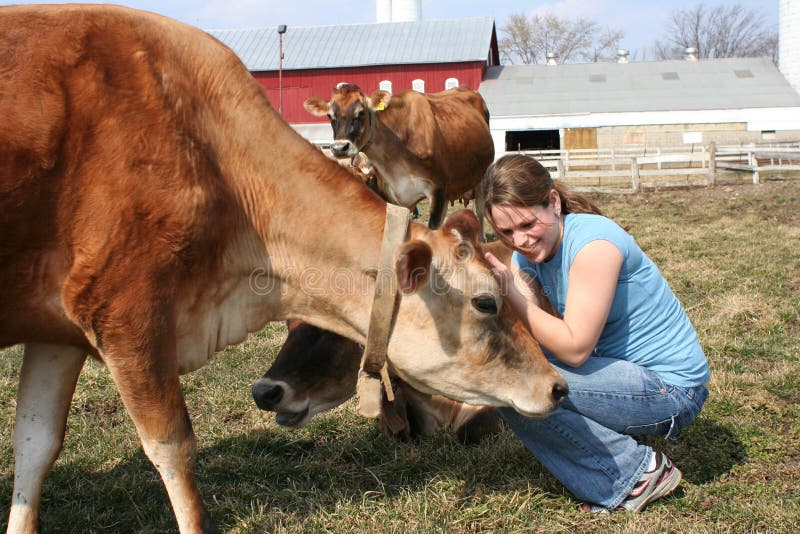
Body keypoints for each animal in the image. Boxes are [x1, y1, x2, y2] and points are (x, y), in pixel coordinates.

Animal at [304, 84, 494, 239]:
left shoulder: (438, 190)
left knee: (479, 209)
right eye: (330, 116)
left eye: (361, 112)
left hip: (482, 176)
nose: (339, 148)